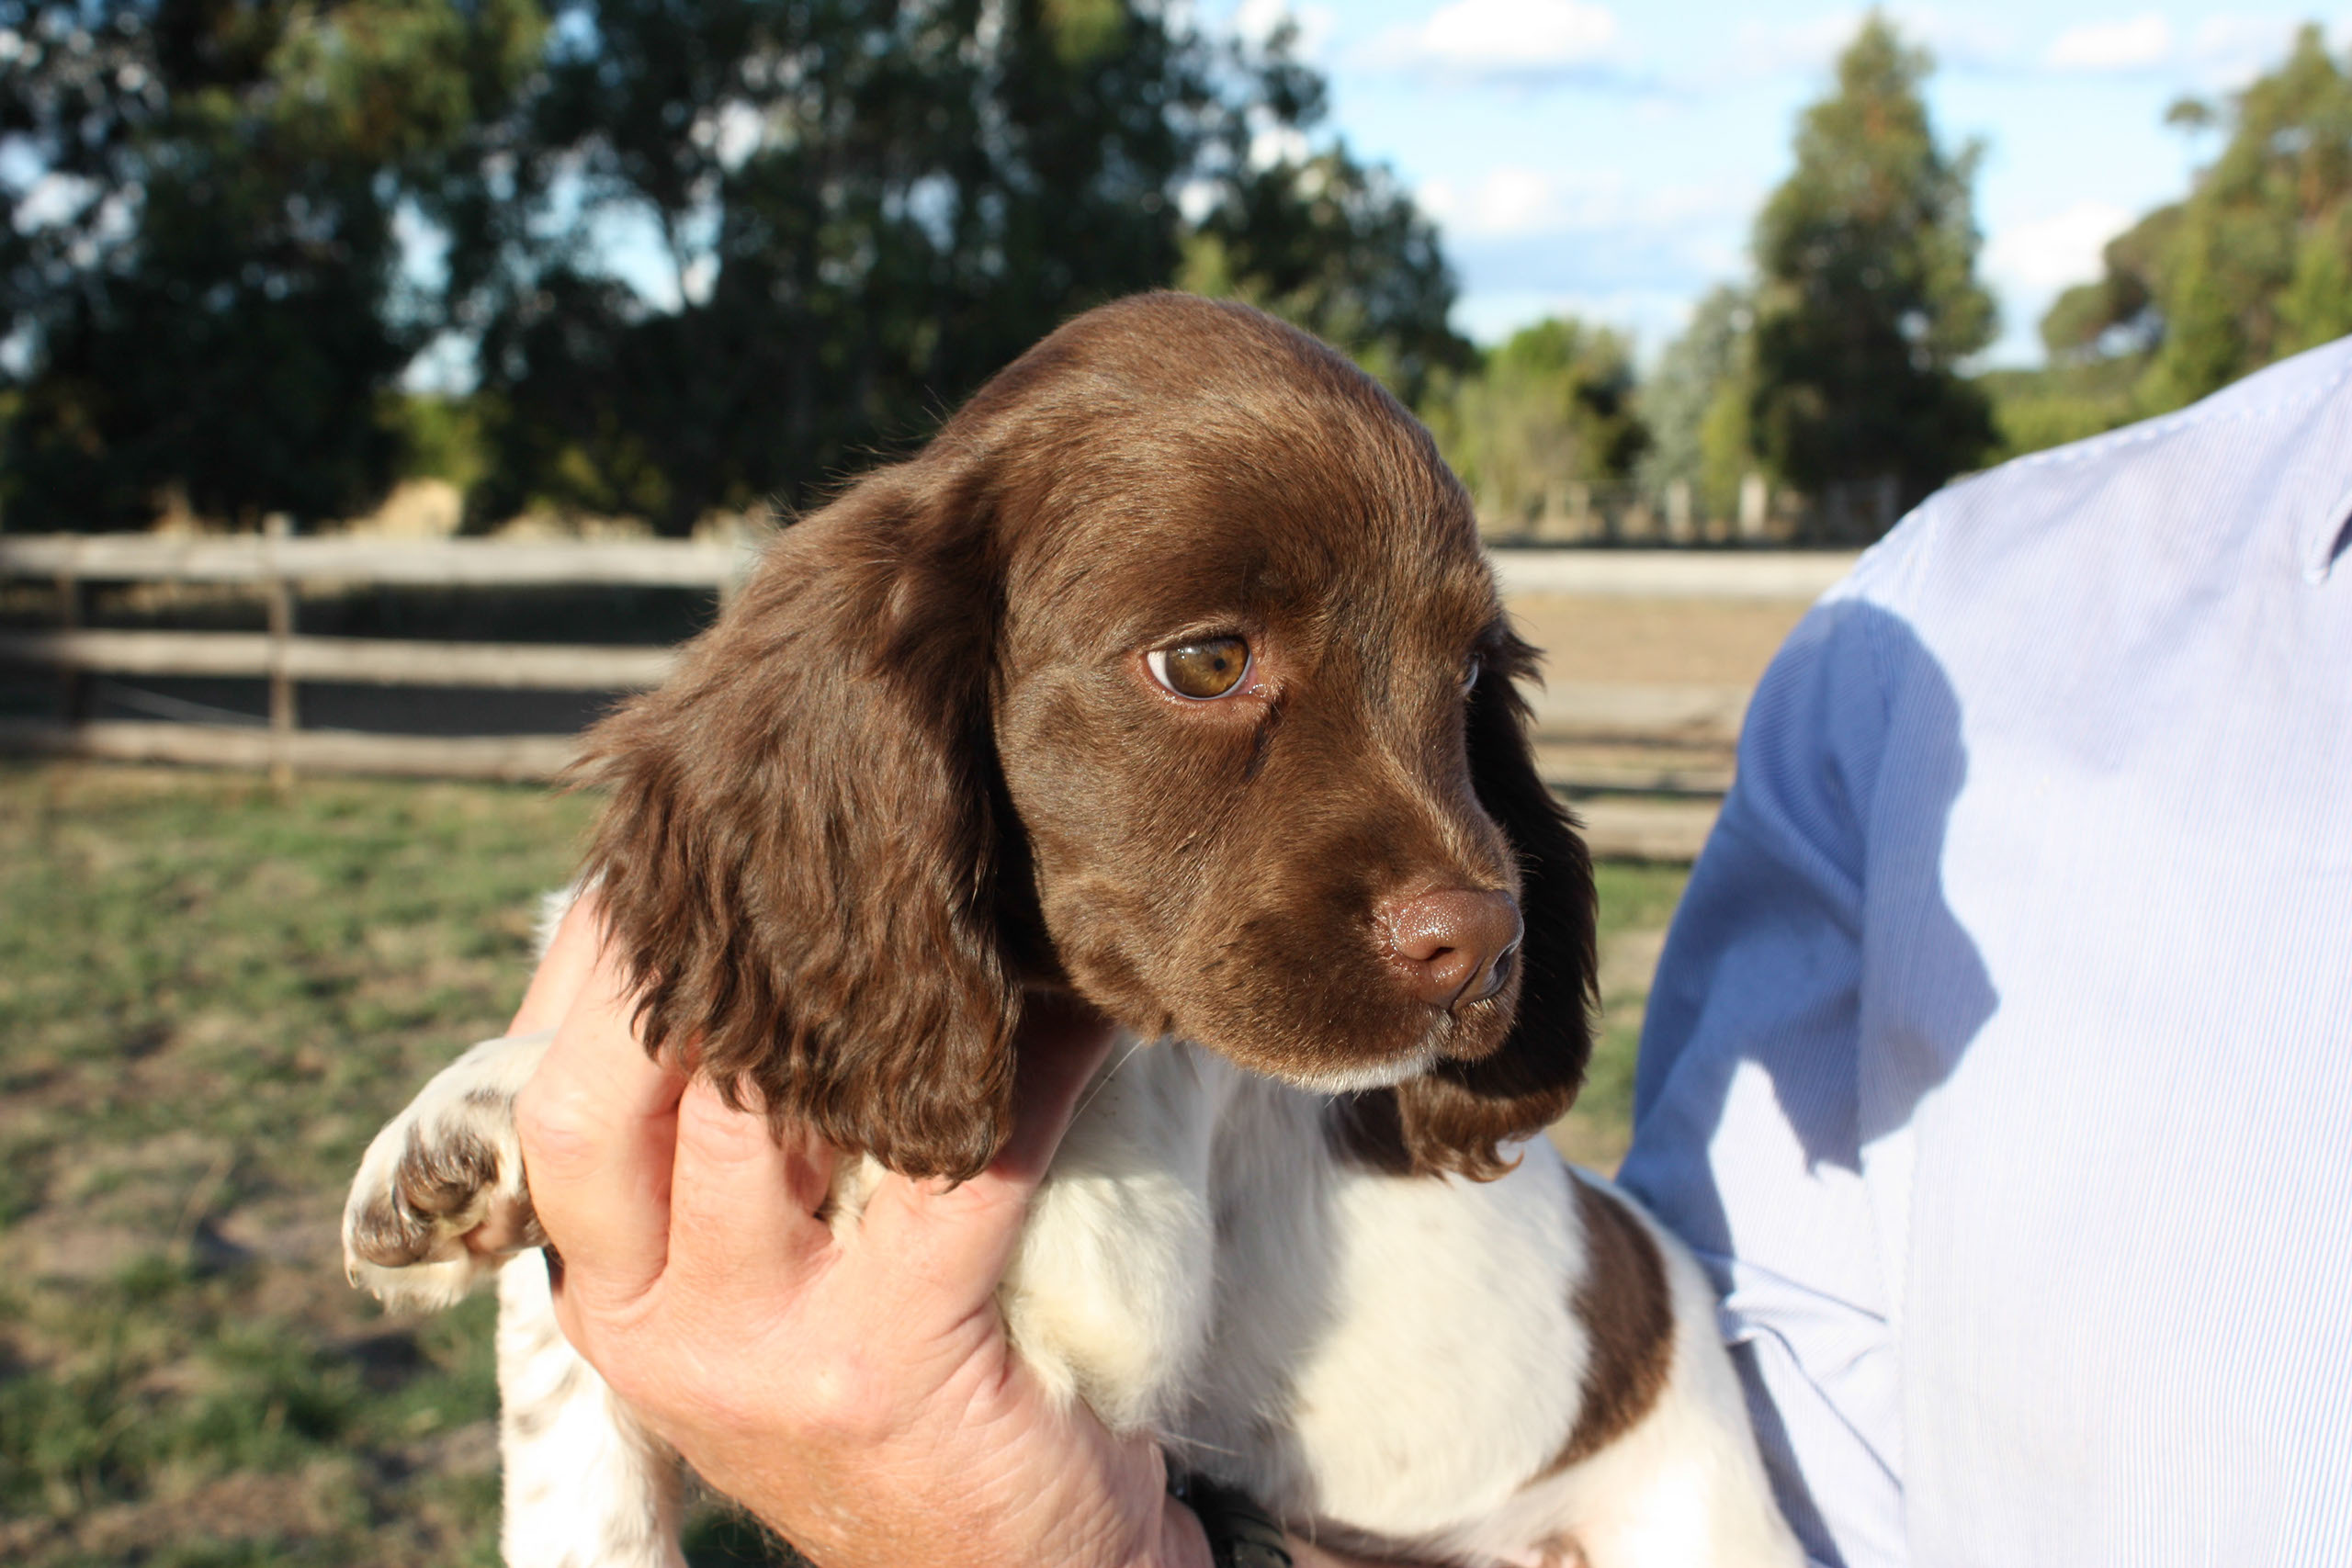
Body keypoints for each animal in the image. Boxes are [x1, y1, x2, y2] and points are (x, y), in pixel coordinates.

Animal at [341, 293, 1787, 1568]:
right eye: (1206, 661)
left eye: (1471, 674)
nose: (1484, 945)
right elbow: (573, 1465)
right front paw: (459, 1129)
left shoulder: (1105, 1294)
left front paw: (498, 1105)